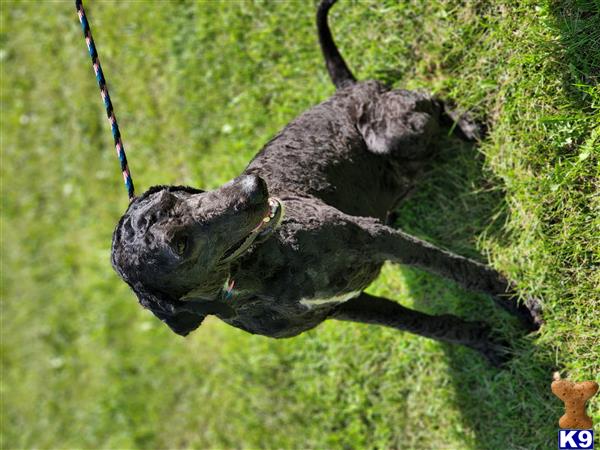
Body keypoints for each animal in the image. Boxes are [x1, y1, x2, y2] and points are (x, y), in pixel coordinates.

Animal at [110, 0, 540, 366]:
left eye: (175, 197)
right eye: (179, 244)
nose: (253, 185)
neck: (256, 272)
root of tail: (346, 88)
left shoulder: (374, 237)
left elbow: (461, 270)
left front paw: (522, 305)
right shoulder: (350, 305)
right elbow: (423, 323)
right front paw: (484, 342)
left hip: (395, 129)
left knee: (430, 96)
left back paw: (467, 126)